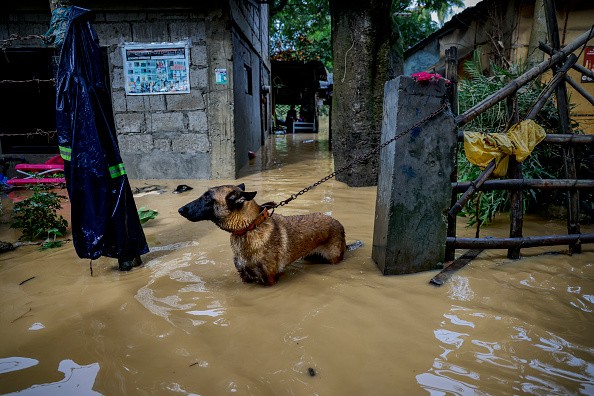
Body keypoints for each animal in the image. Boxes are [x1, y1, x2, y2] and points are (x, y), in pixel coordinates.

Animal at [176, 184, 344, 286]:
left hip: (333, 259)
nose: (180, 209)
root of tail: (337, 222)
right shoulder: (245, 277)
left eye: (206, 197)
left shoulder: (269, 279)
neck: (249, 228)